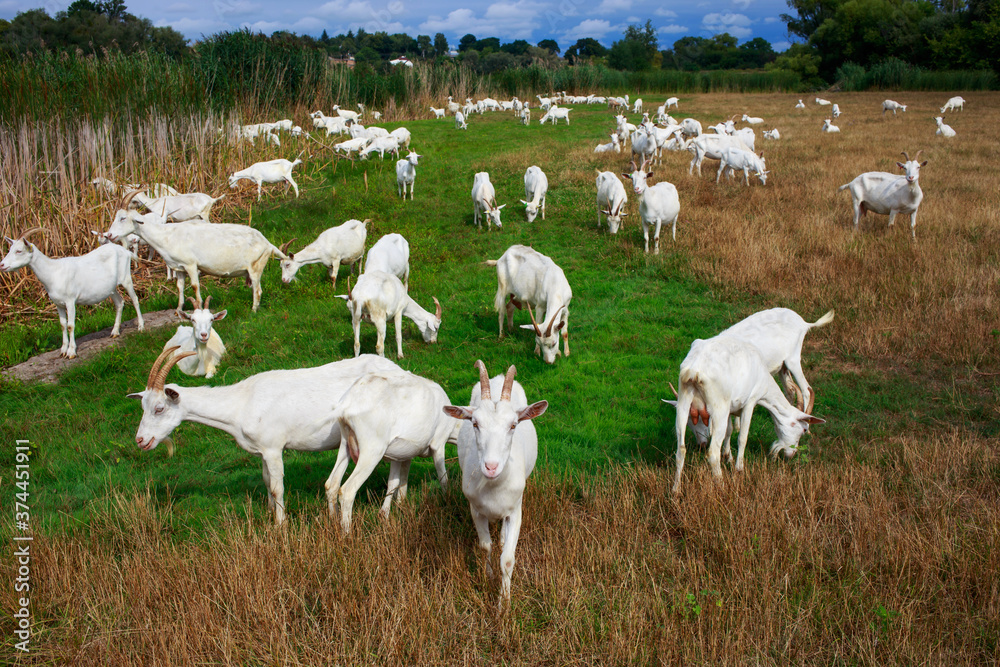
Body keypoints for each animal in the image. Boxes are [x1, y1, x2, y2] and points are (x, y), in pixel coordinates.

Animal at [1, 228, 144, 358]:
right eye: (10, 249)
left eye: (19, 251)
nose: (2, 265)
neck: (53, 272)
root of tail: (125, 251)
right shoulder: (58, 304)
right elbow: (63, 325)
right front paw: (63, 350)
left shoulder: (70, 301)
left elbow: (70, 326)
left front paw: (71, 352)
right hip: (111, 288)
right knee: (119, 303)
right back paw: (115, 332)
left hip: (126, 278)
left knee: (135, 299)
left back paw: (141, 327)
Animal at [129, 348, 402, 524]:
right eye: (142, 406)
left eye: (159, 408)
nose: (140, 441)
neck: (240, 402)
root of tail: (397, 369)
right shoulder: (260, 450)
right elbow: (267, 482)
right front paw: (271, 514)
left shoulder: (273, 448)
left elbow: (278, 486)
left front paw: (280, 525)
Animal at [443, 362, 547, 607]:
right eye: (475, 423)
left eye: (513, 425)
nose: (491, 466)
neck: (493, 487)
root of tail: (498, 378)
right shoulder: (475, 509)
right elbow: (485, 547)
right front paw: (488, 577)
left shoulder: (516, 510)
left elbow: (507, 559)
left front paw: (504, 605)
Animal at [671, 336, 825, 493]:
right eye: (804, 429)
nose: (791, 454)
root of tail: (694, 371)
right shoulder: (750, 402)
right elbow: (742, 437)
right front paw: (739, 469)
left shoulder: (731, 409)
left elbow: (729, 431)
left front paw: (728, 458)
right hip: (719, 407)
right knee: (713, 452)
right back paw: (722, 487)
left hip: (684, 402)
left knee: (681, 449)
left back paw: (676, 490)